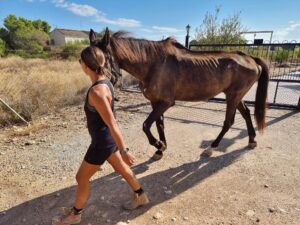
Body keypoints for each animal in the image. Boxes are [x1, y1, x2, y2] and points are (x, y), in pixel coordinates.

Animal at [88, 28, 268, 160]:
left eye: (101, 59)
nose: (97, 91)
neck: (153, 64)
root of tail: (251, 58)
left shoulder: (166, 102)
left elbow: (146, 125)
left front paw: (159, 145)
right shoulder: (155, 101)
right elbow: (159, 124)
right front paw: (160, 149)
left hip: (233, 96)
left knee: (228, 122)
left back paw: (211, 148)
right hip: (236, 95)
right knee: (246, 113)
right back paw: (252, 140)